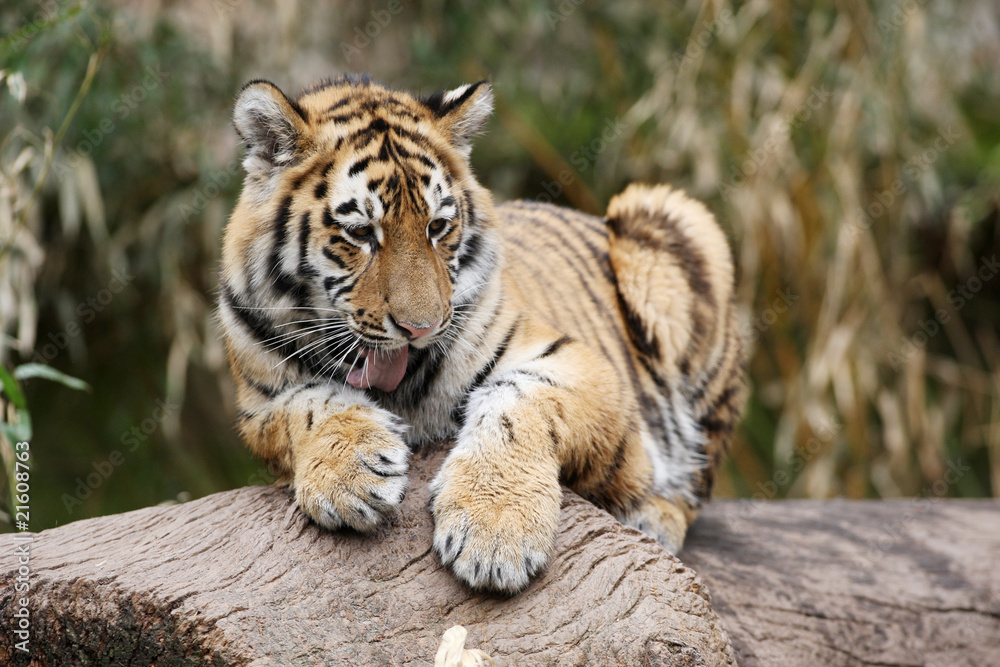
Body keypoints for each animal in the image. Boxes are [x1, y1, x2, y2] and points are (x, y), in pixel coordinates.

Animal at [218, 73, 746, 594]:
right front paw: (350, 477)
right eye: (362, 233)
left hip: (671, 217)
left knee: (696, 483)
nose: (420, 328)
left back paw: (651, 516)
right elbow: (310, 404)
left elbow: (518, 400)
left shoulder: (582, 365)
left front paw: (495, 529)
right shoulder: (258, 407)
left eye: (437, 226)